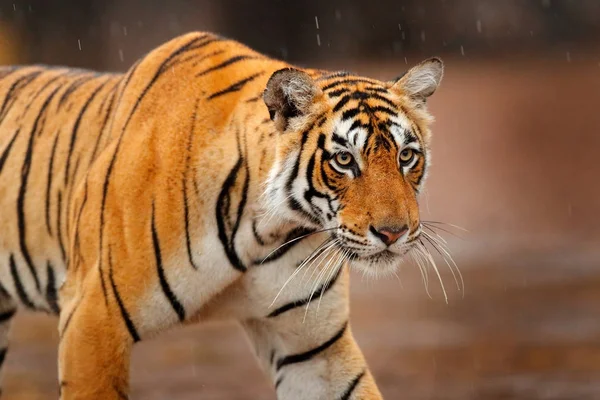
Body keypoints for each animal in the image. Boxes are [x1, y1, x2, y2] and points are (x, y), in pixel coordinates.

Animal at [0, 32, 442, 398]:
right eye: (345, 159)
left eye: (406, 156)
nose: (394, 232)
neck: (267, 228)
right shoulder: (94, 315)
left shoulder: (313, 347)